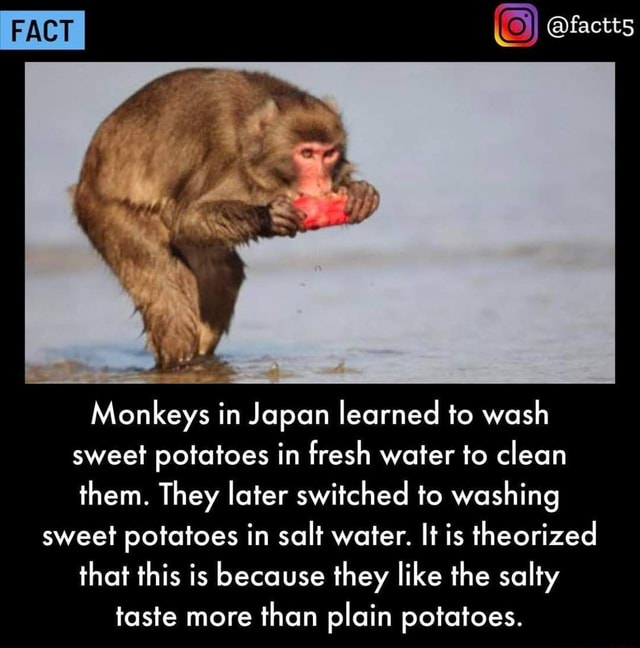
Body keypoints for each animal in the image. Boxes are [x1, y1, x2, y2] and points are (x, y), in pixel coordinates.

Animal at [73, 68, 380, 369]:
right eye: (307, 153)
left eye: (329, 154)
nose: (320, 182)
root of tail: (87, 173)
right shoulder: (226, 157)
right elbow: (188, 219)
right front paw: (269, 216)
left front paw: (359, 194)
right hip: (108, 210)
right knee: (171, 301)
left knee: (222, 274)